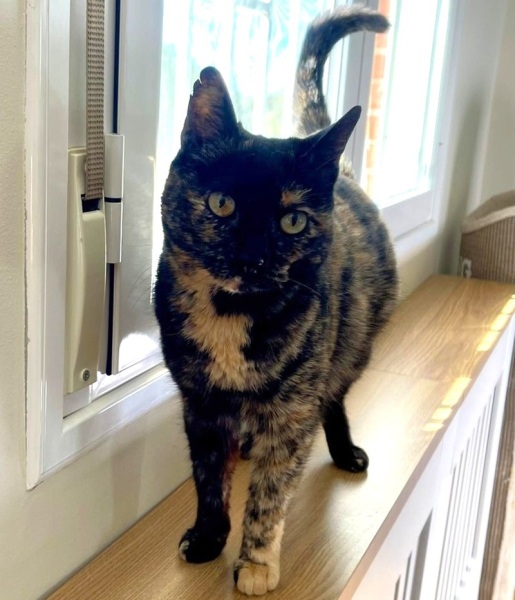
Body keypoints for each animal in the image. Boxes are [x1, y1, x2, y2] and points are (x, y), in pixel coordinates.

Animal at [154, 5, 397, 596]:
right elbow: (207, 476)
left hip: (351, 346)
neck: (230, 315)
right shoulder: (199, 404)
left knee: (334, 396)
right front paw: (208, 536)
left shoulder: (290, 415)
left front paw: (257, 562)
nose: (255, 256)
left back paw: (344, 450)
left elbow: (269, 493)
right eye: (221, 204)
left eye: (292, 220)